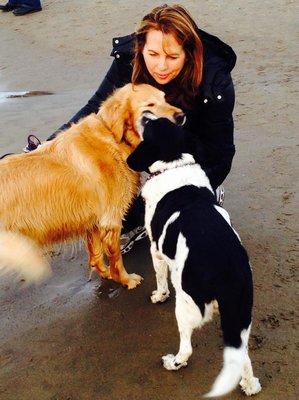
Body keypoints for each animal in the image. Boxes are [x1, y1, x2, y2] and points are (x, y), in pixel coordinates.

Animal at [127, 119, 262, 400]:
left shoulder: (156, 251)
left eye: (150, 124)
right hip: (240, 316)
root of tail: (226, 275)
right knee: (242, 355)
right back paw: (249, 385)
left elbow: (160, 279)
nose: (144, 115)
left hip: (185, 306)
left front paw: (159, 296)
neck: (175, 164)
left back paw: (174, 362)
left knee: (187, 347)